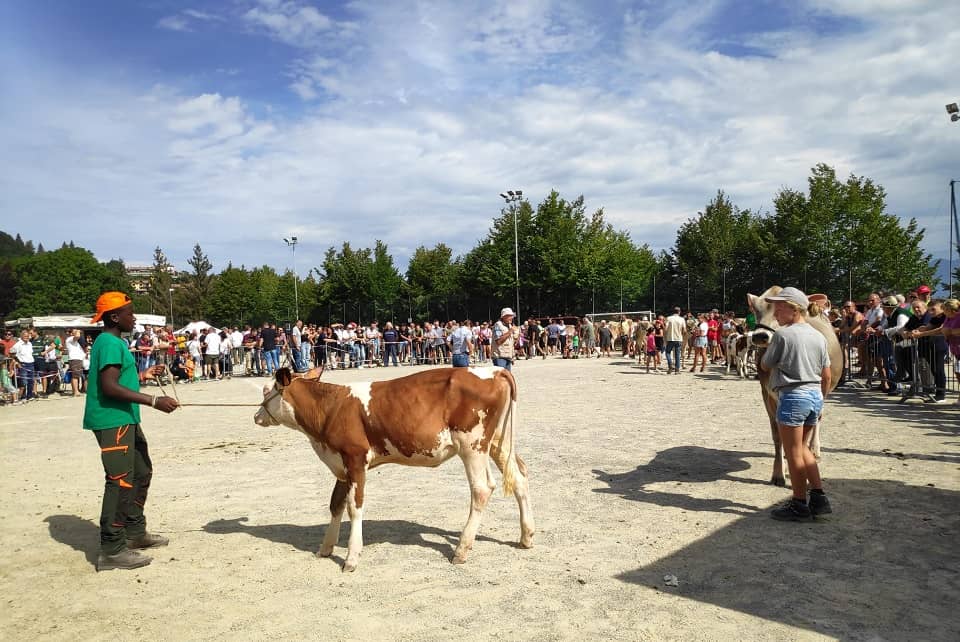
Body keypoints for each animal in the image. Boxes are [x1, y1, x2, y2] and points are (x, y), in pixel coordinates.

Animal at [251, 364, 536, 568]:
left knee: (482, 489)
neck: (331, 408)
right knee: (519, 477)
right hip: (498, 441)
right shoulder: (340, 464)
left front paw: (351, 557)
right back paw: (526, 536)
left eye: (265, 391)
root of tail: (493, 370)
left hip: (472, 444)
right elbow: (336, 504)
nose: (256, 416)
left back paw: (461, 550)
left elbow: (354, 507)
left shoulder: (355, 459)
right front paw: (325, 548)